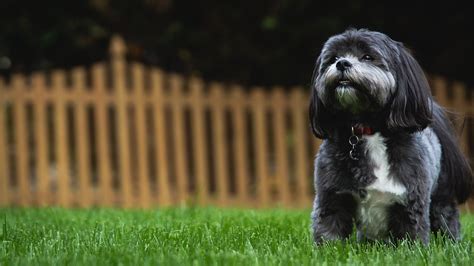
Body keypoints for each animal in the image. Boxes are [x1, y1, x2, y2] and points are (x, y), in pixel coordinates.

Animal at [310, 28, 472, 243]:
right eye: (333, 58)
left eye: (367, 57)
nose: (342, 63)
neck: (368, 130)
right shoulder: (331, 198)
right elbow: (329, 232)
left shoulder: (410, 203)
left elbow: (413, 237)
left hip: (441, 195)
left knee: (446, 216)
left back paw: (451, 242)